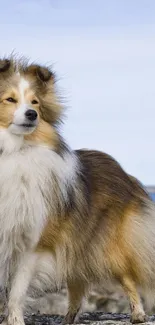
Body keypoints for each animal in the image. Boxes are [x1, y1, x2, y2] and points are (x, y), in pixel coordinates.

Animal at [0, 56, 154, 324]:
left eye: (35, 102)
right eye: (10, 99)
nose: (32, 115)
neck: (12, 152)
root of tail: (124, 172)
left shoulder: (32, 241)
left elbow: (17, 291)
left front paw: (15, 320)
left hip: (108, 246)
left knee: (128, 278)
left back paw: (138, 314)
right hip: (75, 244)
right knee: (78, 288)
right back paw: (68, 319)